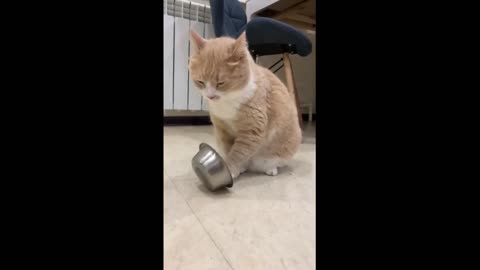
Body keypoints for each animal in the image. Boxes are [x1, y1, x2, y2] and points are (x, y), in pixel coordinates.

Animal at [188, 31, 300, 179]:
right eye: (200, 82)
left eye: (221, 83)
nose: (210, 96)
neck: (227, 101)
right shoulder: (223, 130)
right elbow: (229, 150)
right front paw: (232, 167)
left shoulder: (251, 131)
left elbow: (238, 153)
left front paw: (230, 169)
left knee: (273, 162)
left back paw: (270, 169)